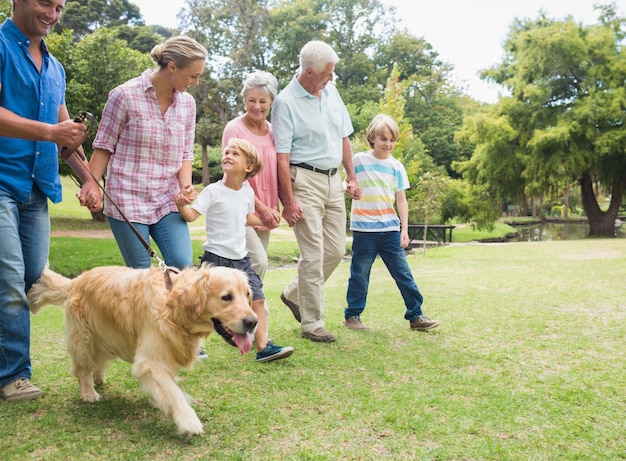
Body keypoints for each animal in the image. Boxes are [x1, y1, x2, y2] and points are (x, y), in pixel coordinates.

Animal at [26, 264, 256, 434]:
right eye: (227, 297)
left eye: (247, 295)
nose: (253, 322)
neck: (173, 307)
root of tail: (76, 280)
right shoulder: (150, 361)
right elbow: (172, 391)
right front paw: (187, 420)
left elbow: (167, 385)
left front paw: (158, 400)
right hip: (84, 340)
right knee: (81, 369)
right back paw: (89, 392)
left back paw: (98, 377)